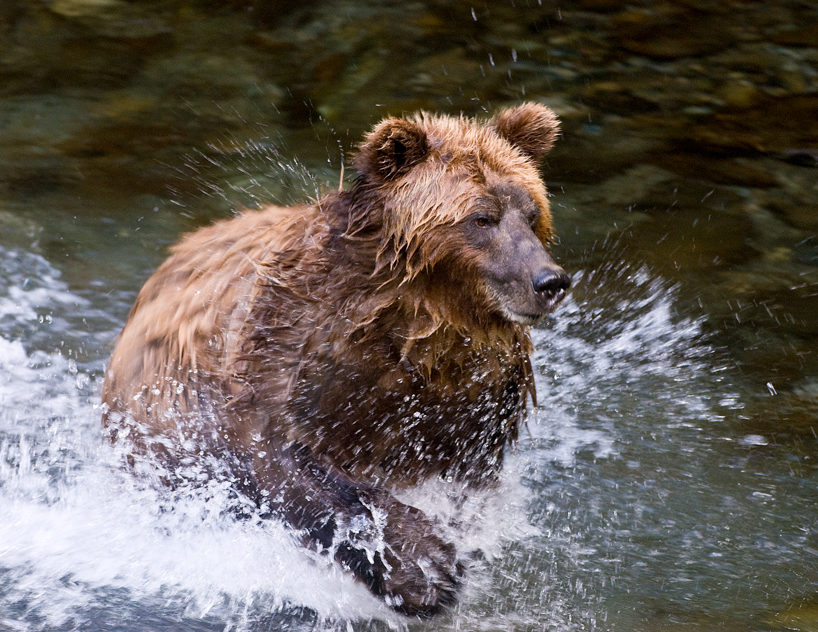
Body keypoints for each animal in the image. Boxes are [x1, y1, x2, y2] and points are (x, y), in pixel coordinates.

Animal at [101, 102, 570, 617]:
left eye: (532, 213)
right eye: (482, 218)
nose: (548, 280)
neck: (420, 321)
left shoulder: (473, 399)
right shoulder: (288, 355)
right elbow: (289, 462)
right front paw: (426, 568)